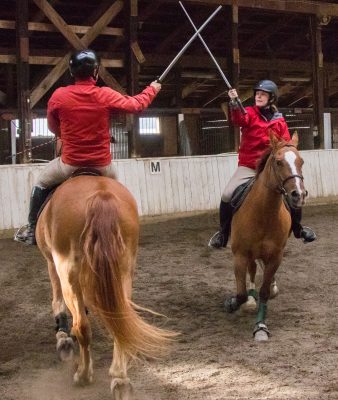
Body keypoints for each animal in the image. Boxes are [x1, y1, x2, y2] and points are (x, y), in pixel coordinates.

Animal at [36, 177, 174, 398]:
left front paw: (63, 337)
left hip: (68, 271)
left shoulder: (52, 263)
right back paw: (120, 379)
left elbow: (57, 301)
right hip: (123, 271)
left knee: (82, 327)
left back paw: (83, 375)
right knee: (120, 322)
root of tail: (102, 195)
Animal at [224, 134, 306, 340]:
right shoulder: (240, 256)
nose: (298, 195)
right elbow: (241, 293)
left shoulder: (275, 257)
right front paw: (233, 303)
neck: (264, 213)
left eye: (301, 161)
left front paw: (260, 327)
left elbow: (265, 292)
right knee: (252, 272)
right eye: (278, 162)